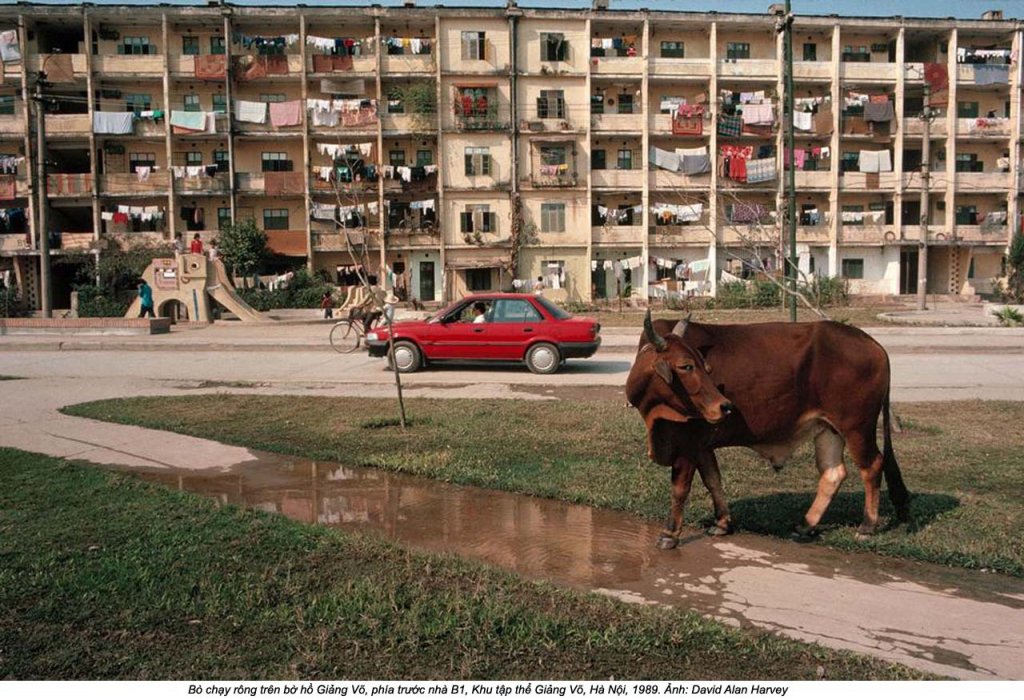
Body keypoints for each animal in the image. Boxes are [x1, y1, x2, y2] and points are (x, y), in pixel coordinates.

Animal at [626, 311, 909, 548]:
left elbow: (679, 489)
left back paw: (866, 527)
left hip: (856, 427)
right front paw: (722, 523)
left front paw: (669, 534)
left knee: (872, 466)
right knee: (833, 473)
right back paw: (805, 526)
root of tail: (874, 345)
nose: (724, 406)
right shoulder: (703, 444)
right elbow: (713, 480)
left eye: (703, 367)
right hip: (829, 429)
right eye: (686, 366)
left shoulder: (686, 442)